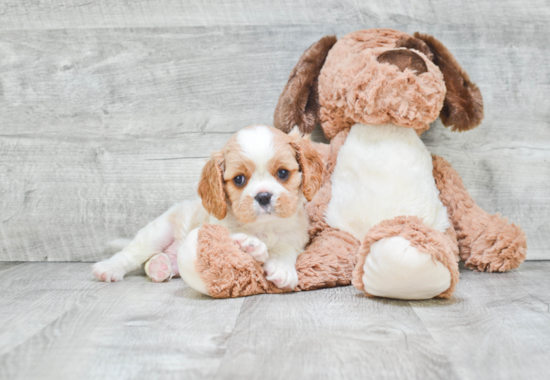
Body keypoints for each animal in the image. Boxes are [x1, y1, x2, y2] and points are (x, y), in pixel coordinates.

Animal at [90, 124, 324, 290]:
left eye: (283, 173)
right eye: (239, 179)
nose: (263, 196)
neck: (262, 227)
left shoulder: (295, 237)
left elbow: (285, 248)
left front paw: (282, 268)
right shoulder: (215, 228)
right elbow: (230, 238)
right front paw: (250, 244)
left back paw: (160, 266)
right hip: (158, 231)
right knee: (132, 254)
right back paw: (109, 268)